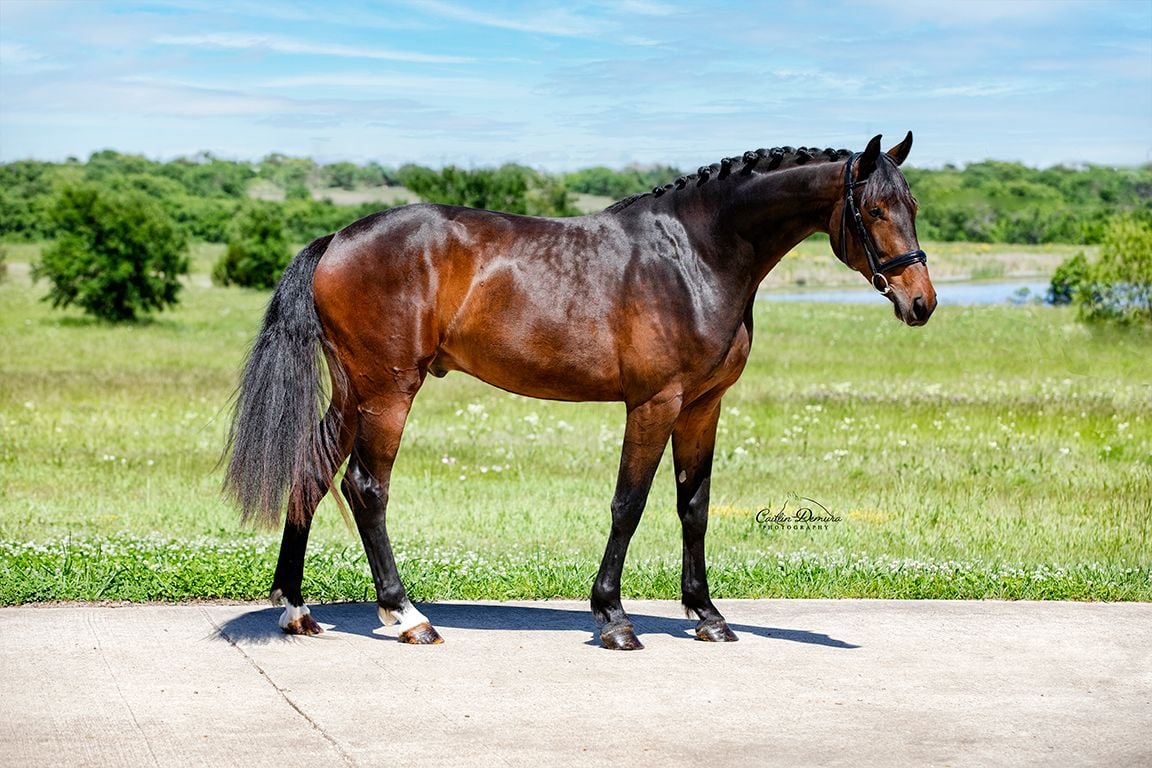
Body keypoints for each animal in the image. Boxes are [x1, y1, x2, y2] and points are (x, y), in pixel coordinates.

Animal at [222, 132, 936, 650]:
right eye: (874, 210)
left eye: (913, 208)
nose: (921, 302)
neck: (696, 254)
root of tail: (336, 238)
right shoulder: (655, 403)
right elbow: (630, 503)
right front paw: (613, 618)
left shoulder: (703, 407)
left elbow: (694, 506)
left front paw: (707, 615)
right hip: (388, 392)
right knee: (366, 489)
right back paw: (407, 617)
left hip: (353, 393)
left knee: (311, 473)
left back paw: (296, 609)